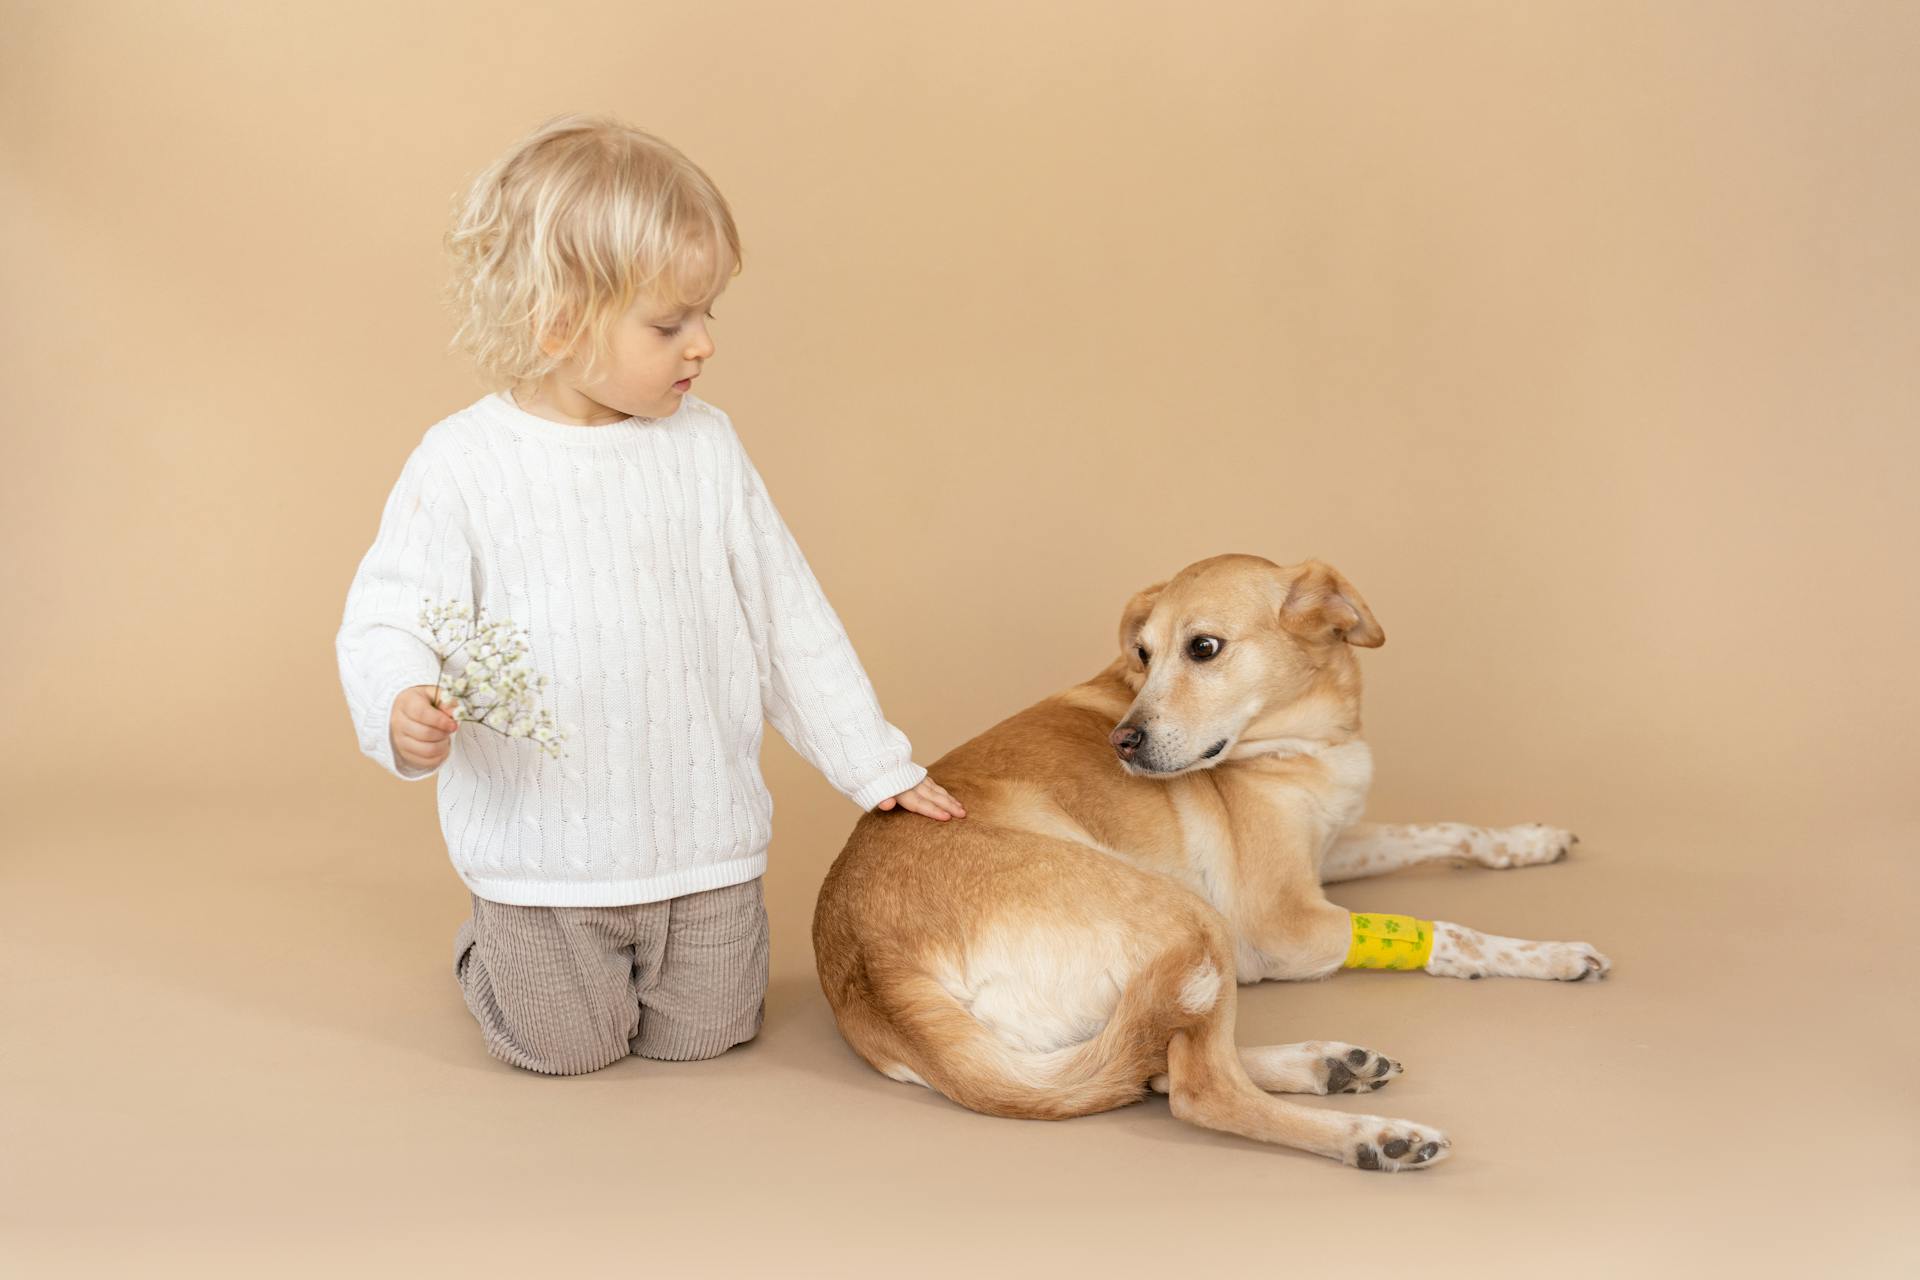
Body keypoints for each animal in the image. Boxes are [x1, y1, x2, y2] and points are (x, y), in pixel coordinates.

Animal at [810, 552, 1605, 1174]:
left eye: (1202, 648)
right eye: (1142, 654)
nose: (1122, 743)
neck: (1307, 736)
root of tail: (873, 970)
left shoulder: (1334, 848)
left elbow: (1445, 830)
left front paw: (1527, 842)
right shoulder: (1284, 923)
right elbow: (1450, 931)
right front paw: (1550, 954)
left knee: (1151, 1065)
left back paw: (1326, 1066)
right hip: (1195, 921)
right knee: (1197, 1089)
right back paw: (1372, 1136)